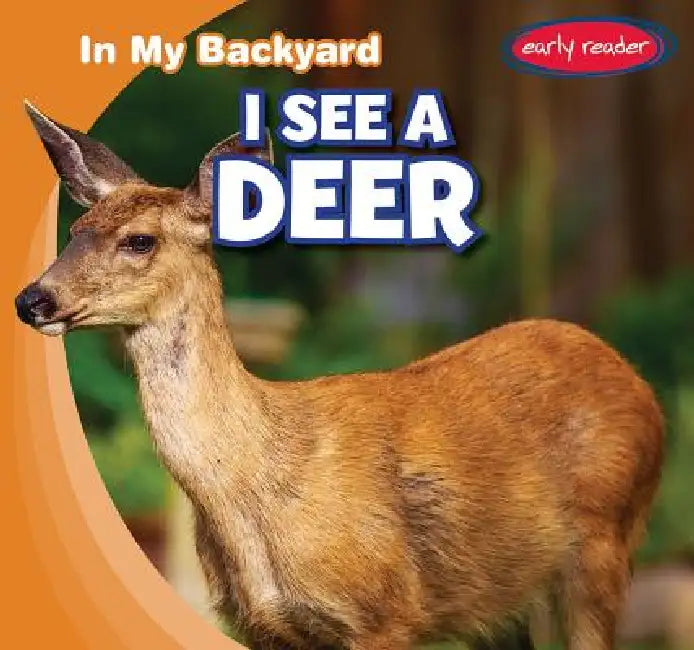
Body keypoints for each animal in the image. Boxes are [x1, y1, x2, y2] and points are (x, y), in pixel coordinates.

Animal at [16, 102, 664, 650]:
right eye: (73, 232)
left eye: (139, 240)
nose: (32, 300)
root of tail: (639, 386)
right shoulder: (265, 628)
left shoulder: (384, 612)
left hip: (602, 546)